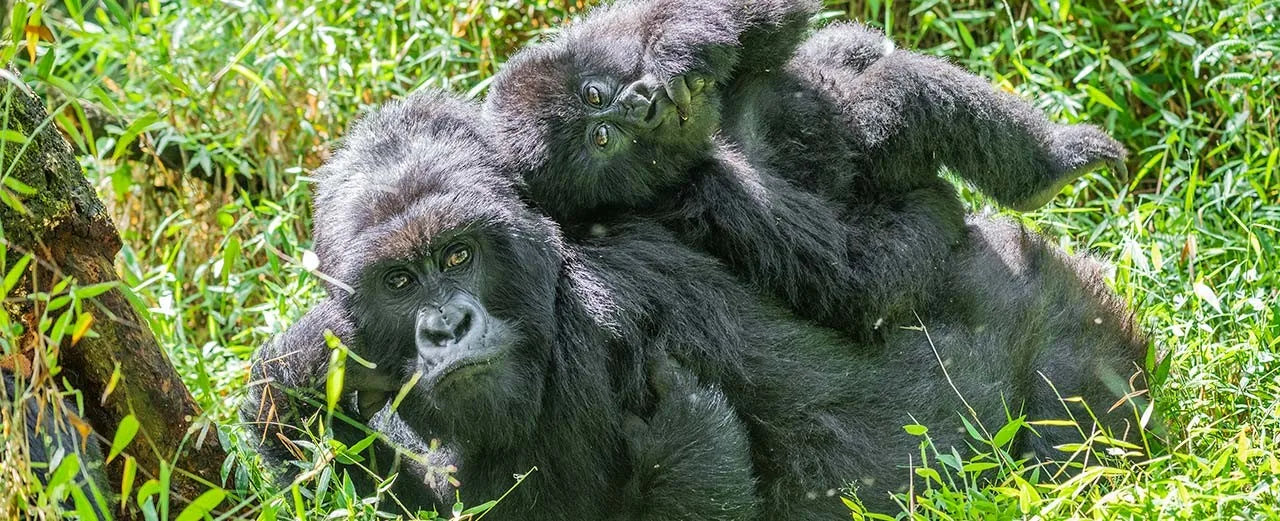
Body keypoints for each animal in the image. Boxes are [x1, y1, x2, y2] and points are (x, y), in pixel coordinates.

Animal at [483, 0, 1126, 337]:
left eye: (595, 95)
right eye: (602, 138)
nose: (640, 107)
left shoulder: (605, 33)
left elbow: (759, 16)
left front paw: (676, 53)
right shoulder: (703, 199)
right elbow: (857, 279)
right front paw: (936, 213)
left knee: (851, 50)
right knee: (907, 95)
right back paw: (1049, 169)